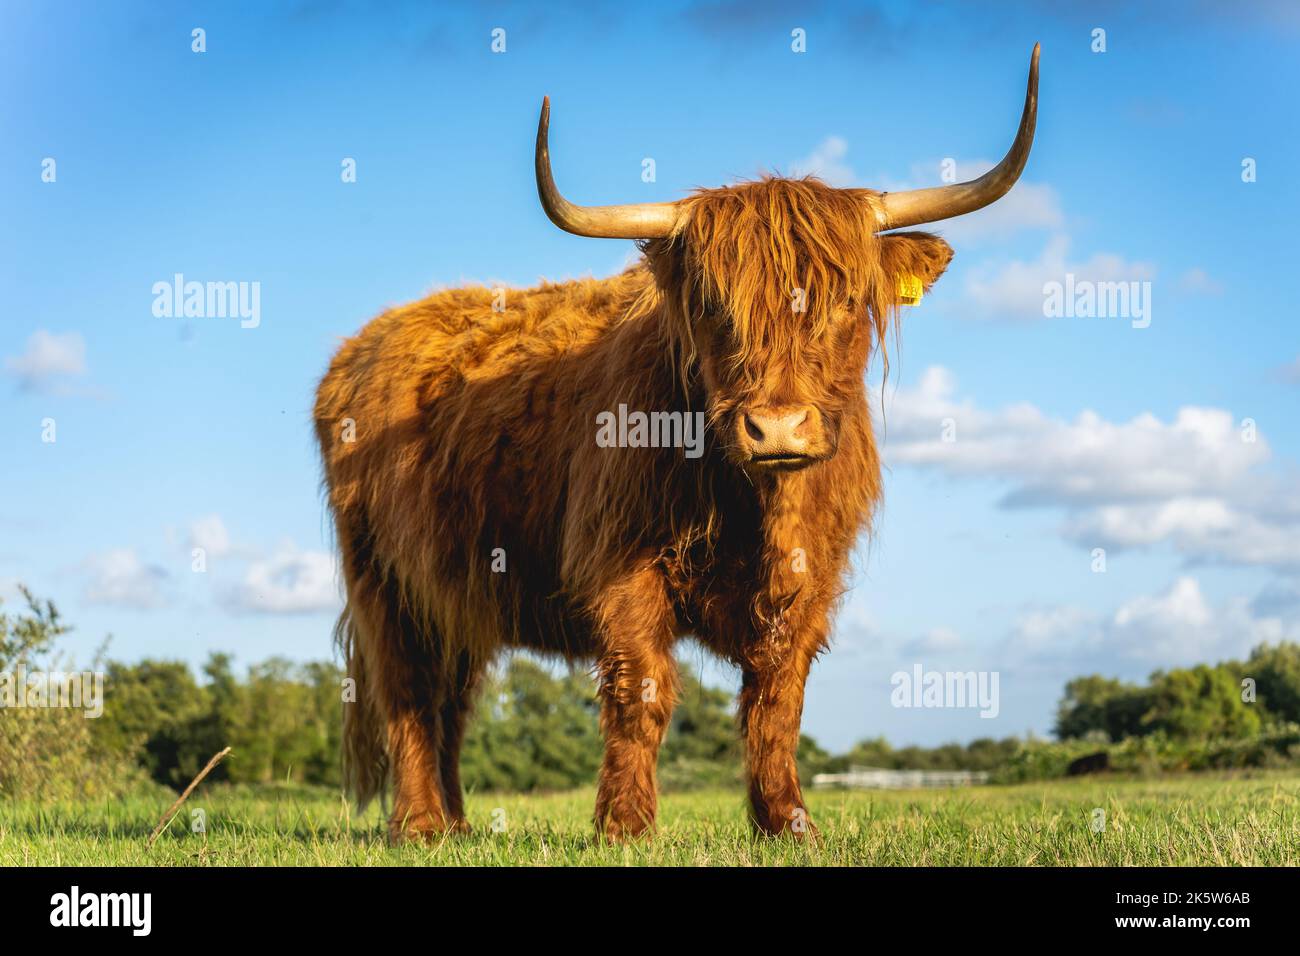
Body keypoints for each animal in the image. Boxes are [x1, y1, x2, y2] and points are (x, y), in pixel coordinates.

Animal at [312, 44, 1034, 842]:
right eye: (715, 305)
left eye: (847, 301)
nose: (777, 427)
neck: (758, 504)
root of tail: (367, 342)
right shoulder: (622, 565)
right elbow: (642, 692)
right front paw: (625, 825)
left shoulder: (811, 582)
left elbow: (777, 702)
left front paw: (787, 822)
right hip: (383, 580)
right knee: (408, 693)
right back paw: (418, 825)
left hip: (457, 595)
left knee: (452, 702)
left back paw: (458, 825)